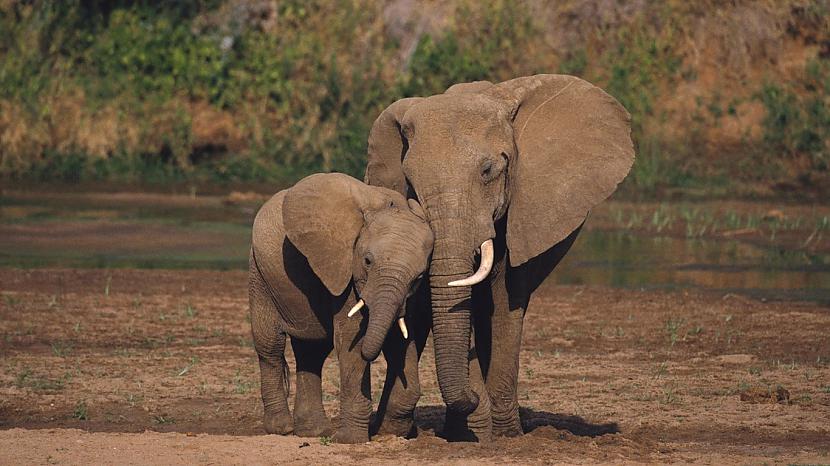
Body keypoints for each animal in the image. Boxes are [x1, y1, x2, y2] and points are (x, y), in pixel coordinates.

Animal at [249, 172, 436, 444]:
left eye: (419, 276)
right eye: (367, 261)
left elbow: (401, 339)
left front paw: (391, 432)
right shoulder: (345, 270)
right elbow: (351, 343)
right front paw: (351, 440)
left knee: (312, 351)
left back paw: (314, 432)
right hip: (260, 274)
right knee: (270, 346)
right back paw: (282, 428)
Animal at [366, 73, 636, 440]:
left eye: (488, 171)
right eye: (410, 181)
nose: (471, 394)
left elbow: (506, 300)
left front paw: (501, 435)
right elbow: (424, 302)